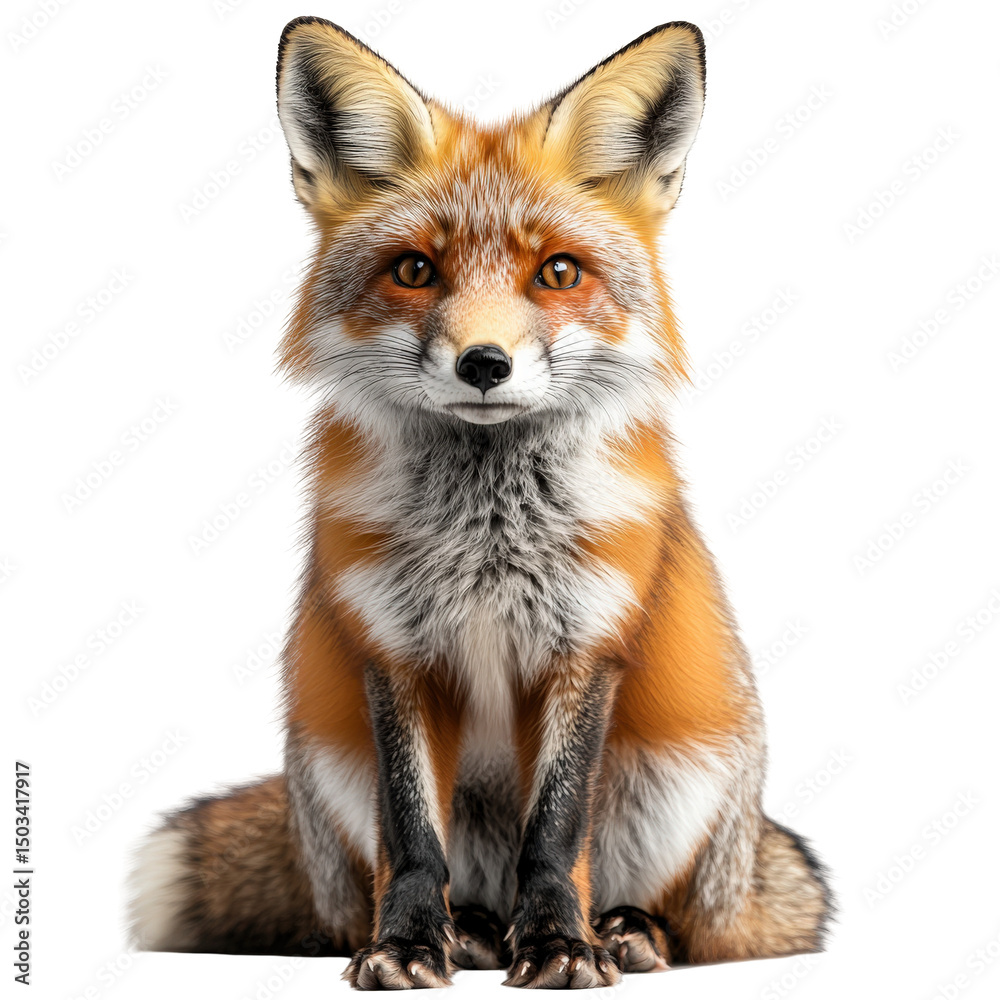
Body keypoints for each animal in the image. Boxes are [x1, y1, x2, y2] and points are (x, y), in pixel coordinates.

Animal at [128, 17, 833, 990]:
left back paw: (624, 933)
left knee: (702, 925)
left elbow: (557, 833)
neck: (488, 536)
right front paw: (406, 945)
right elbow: (411, 836)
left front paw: (563, 947)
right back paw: (468, 930)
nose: (485, 363)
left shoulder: (588, 645)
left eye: (559, 273)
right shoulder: (393, 650)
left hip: (686, 781)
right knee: (385, 892)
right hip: (327, 766)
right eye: (415, 270)